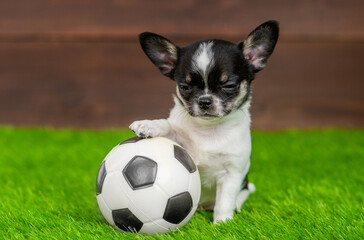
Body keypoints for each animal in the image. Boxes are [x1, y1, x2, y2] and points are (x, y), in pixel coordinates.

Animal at [130, 20, 278, 223]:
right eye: (184, 87)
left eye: (229, 85)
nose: (204, 101)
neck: (209, 130)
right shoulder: (178, 139)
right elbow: (169, 125)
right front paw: (149, 125)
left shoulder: (232, 174)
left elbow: (224, 202)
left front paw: (222, 223)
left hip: (244, 185)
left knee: (238, 197)